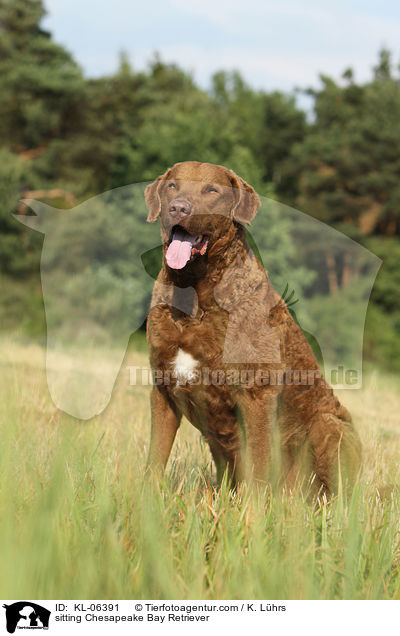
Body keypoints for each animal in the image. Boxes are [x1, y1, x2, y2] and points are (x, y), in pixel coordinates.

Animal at [145, 160, 362, 492]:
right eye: (172, 186)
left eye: (212, 190)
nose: (178, 208)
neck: (195, 298)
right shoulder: (162, 387)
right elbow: (155, 458)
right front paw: (144, 500)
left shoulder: (256, 392)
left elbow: (258, 468)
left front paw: (253, 508)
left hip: (329, 426)